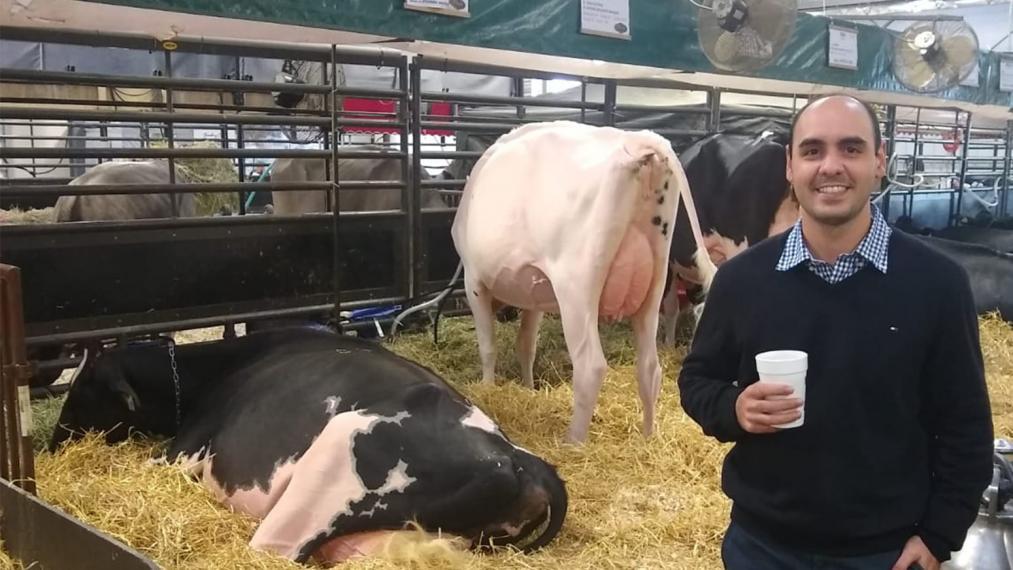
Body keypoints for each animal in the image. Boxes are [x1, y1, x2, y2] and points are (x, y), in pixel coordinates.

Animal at [48, 327, 568, 564]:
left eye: (81, 392)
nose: (54, 446)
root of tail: (521, 459)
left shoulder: (184, 446)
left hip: (331, 460)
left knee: (275, 549)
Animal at [451, 121, 717, 444]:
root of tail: (638, 141)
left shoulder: (474, 280)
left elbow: (488, 347)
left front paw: (487, 389)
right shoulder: (534, 294)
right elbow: (526, 345)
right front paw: (529, 388)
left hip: (576, 289)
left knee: (590, 367)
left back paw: (574, 442)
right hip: (654, 284)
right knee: (649, 367)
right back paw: (648, 437)